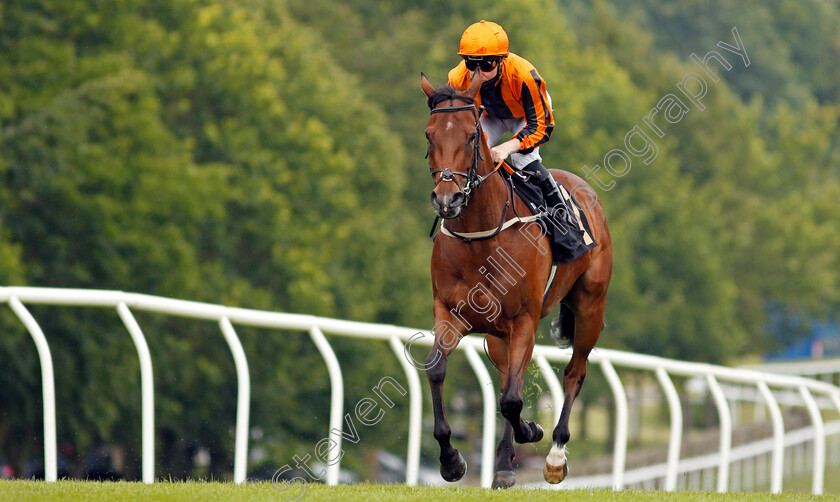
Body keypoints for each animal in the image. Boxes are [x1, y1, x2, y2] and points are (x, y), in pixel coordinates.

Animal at [418, 72, 612, 488]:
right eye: (429, 135)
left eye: (472, 136)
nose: (447, 199)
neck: (480, 238)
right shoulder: (450, 312)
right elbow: (438, 369)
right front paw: (451, 461)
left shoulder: (524, 319)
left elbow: (511, 399)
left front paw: (533, 432)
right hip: (496, 335)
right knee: (511, 375)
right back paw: (505, 463)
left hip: (590, 307)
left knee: (573, 372)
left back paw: (554, 455)